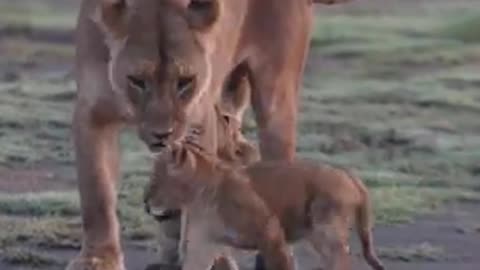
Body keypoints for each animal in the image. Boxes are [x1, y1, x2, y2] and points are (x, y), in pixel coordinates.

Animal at [70, 0, 352, 270]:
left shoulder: (199, 121)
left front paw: (211, 259)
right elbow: (97, 193)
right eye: (137, 80)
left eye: (185, 81)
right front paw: (98, 260)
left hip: (276, 95)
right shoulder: (92, 114)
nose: (162, 134)